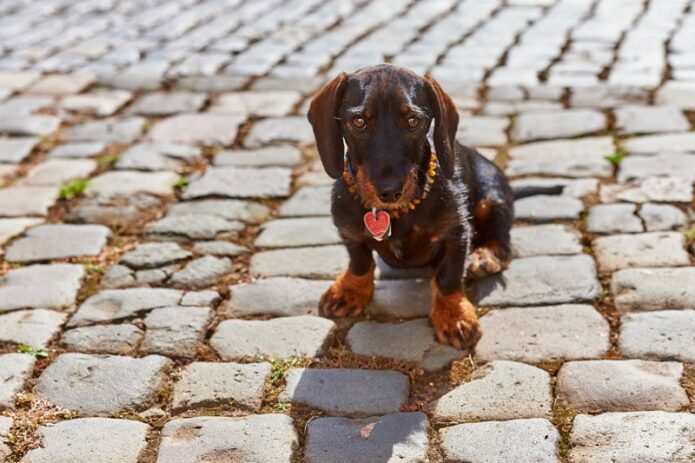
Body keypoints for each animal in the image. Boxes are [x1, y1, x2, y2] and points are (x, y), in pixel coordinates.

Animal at [308, 64, 512, 348]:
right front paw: (349, 290)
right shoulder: (349, 231)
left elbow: (449, 276)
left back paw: (484, 257)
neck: (395, 213)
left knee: (503, 242)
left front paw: (454, 315)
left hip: (491, 199)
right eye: (359, 121)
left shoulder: (457, 233)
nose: (389, 191)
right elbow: (359, 261)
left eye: (413, 121)